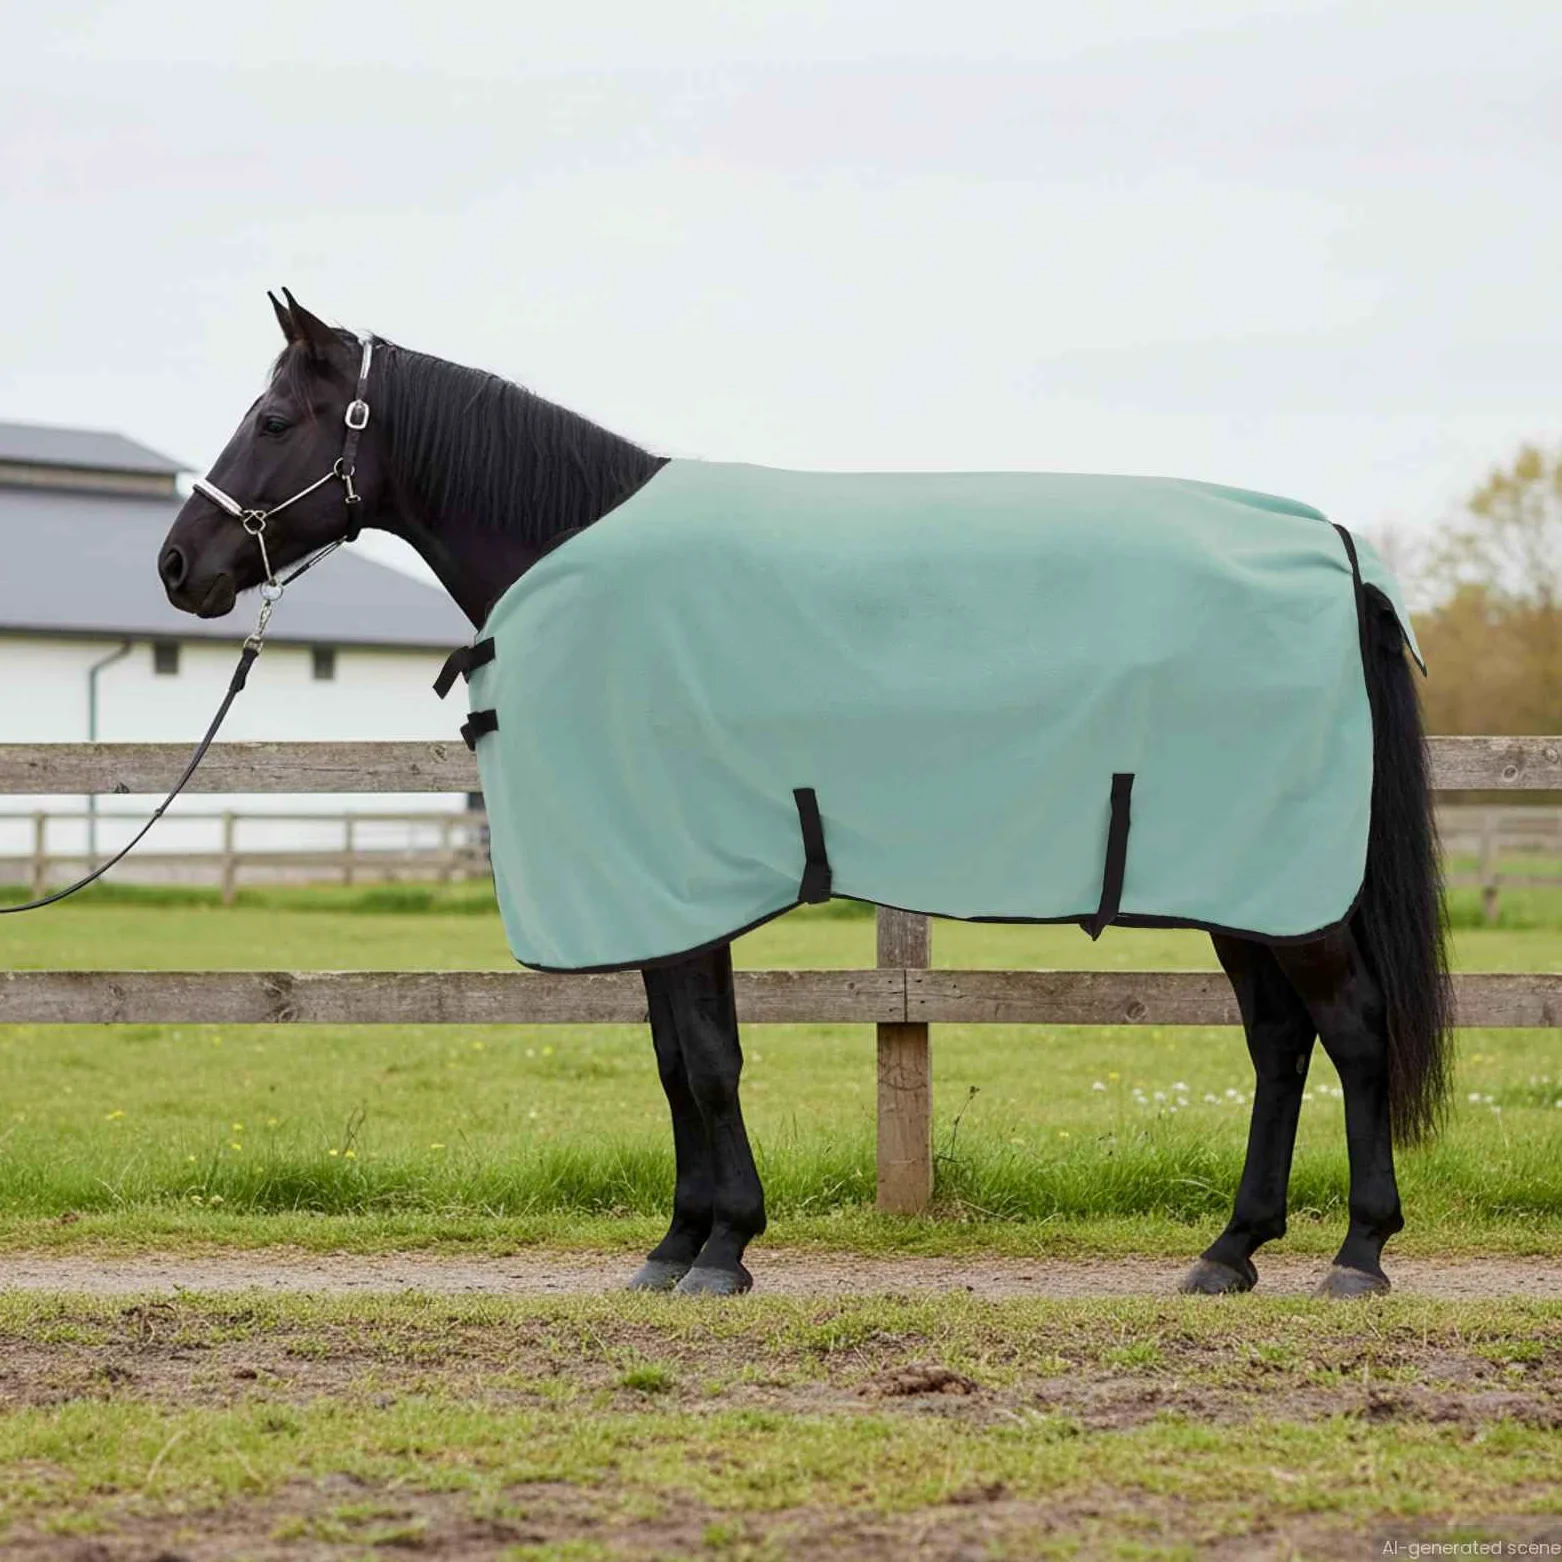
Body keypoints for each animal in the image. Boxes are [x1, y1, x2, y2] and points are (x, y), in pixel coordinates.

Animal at [157, 291, 1451, 1298]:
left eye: (273, 419)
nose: (178, 565)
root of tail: (1334, 551)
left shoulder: (678, 884)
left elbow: (707, 1060)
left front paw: (721, 1246)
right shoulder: (661, 892)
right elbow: (676, 1058)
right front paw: (678, 1242)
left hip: (1286, 889)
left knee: (1352, 1029)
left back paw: (1357, 1252)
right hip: (1241, 882)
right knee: (1278, 1042)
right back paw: (1229, 1250)